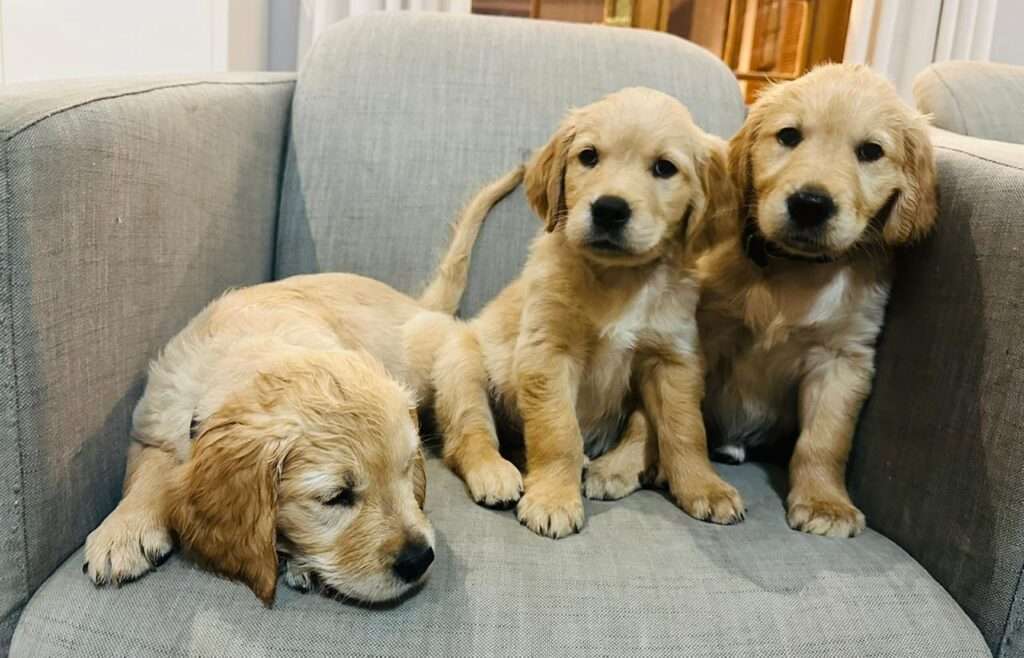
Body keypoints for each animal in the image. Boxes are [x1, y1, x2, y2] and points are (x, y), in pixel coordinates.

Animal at [81, 170, 520, 605]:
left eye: (406, 470)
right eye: (335, 497)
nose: (419, 558)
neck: (250, 348)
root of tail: (417, 304)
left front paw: (298, 561)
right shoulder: (153, 419)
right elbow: (147, 471)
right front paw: (122, 530)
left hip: (454, 360)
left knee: (467, 429)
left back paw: (491, 470)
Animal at [432, 89, 745, 540]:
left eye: (665, 168)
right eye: (589, 156)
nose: (609, 209)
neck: (619, 279)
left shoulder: (673, 359)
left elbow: (685, 430)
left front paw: (705, 487)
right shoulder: (547, 352)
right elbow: (558, 431)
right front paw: (553, 499)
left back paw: (611, 470)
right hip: (461, 365)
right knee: (468, 435)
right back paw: (495, 472)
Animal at [593, 64, 937, 536]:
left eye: (871, 151)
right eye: (789, 136)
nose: (810, 204)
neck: (794, 270)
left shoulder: (844, 358)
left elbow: (825, 439)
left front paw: (826, 502)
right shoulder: (695, 338)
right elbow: (661, 415)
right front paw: (626, 463)